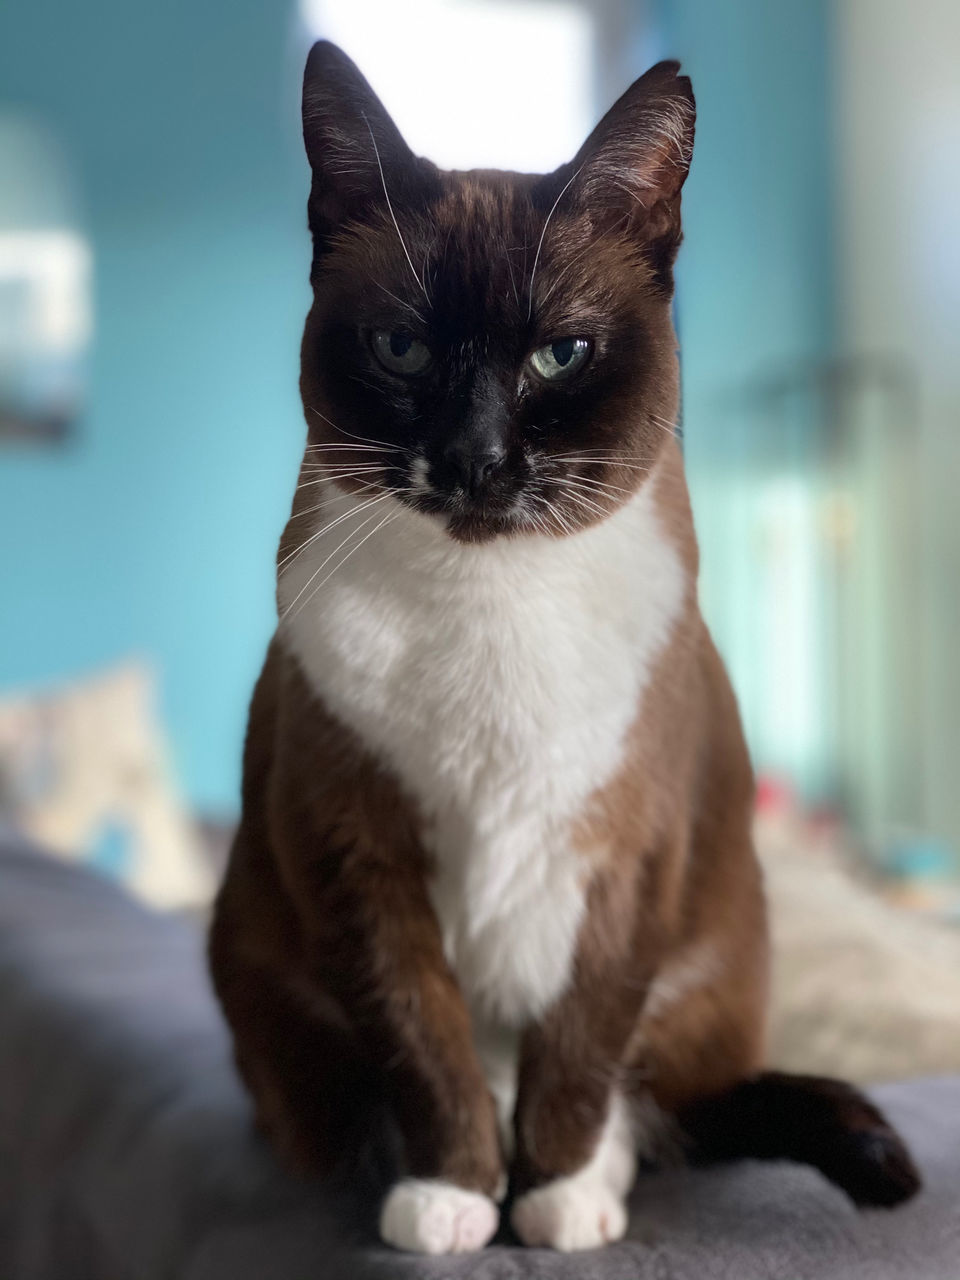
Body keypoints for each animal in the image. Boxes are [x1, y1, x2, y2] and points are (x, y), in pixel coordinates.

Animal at [212, 37, 926, 1249]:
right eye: (402, 349)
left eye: (561, 356)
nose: (475, 458)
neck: (491, 601)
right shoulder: (358, 855)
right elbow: (425, 1040)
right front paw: (455, 1196)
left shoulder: (626, 860)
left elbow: (582, 1048)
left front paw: (546, 1198)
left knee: (648, 1104)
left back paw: (581, 1190)